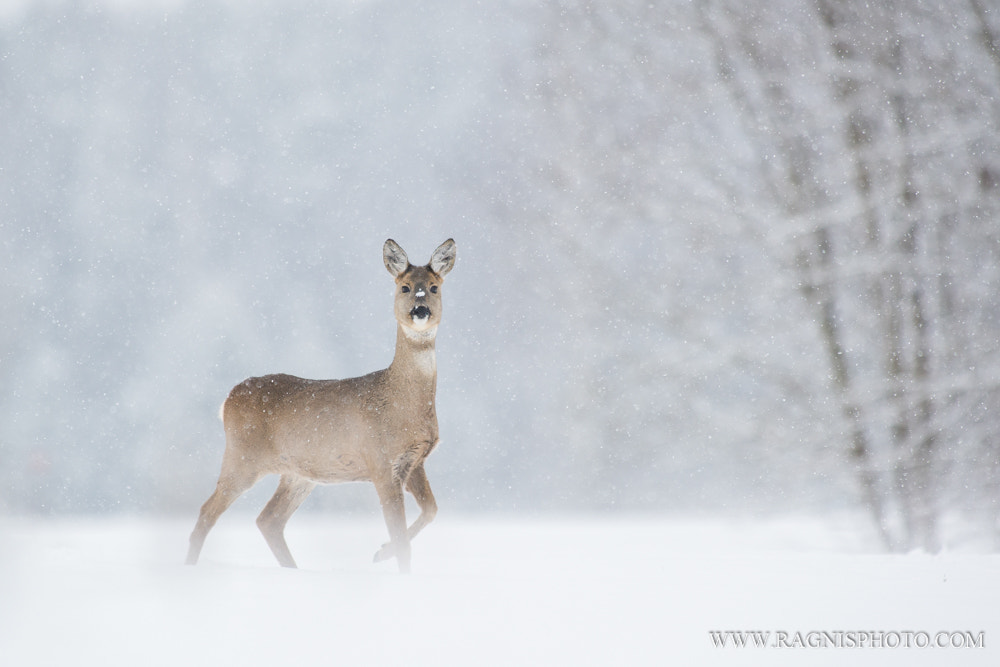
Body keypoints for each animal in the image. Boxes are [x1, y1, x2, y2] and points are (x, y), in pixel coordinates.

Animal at [185, 238, 456, 573]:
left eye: (434, 287)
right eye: (404, 287)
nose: (420, 310)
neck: (403, 403)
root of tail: (227, 400)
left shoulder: (415, 461)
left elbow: (431, 510)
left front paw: (382, 551)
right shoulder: (380, 461)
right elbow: (402, 537)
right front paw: (388, 556)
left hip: (299, 473)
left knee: (268, 519)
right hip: (243, 457)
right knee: (207, 511)